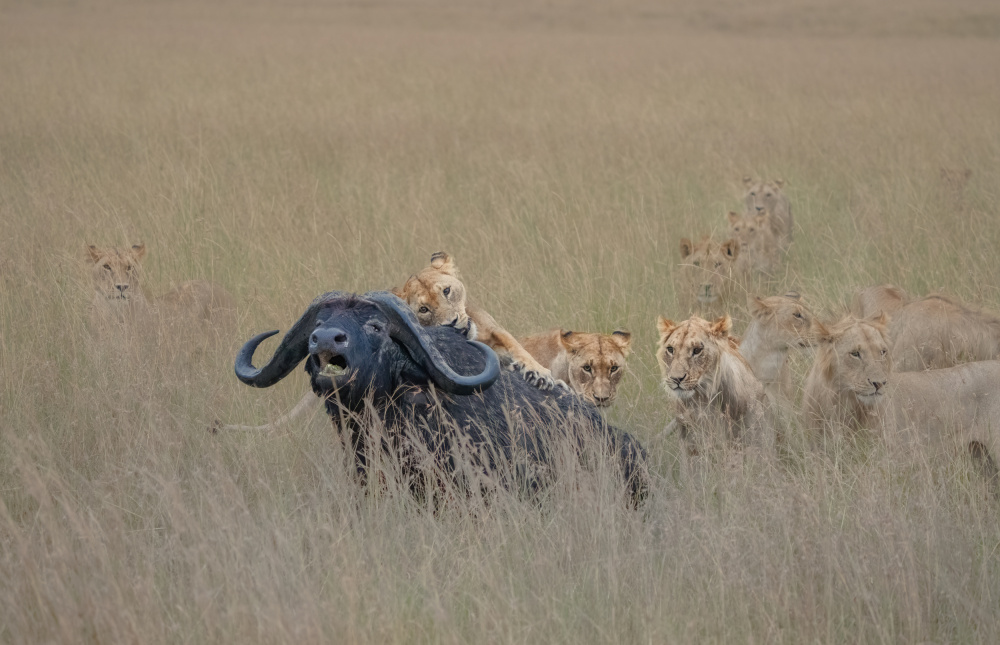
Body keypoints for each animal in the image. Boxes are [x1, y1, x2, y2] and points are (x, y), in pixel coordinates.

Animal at [802, 314, 1000, 486]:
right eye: (855, 354)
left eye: (882, 352)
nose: (879, 383)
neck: (842, 405)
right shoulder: (818, 458)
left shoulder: (882, 462)